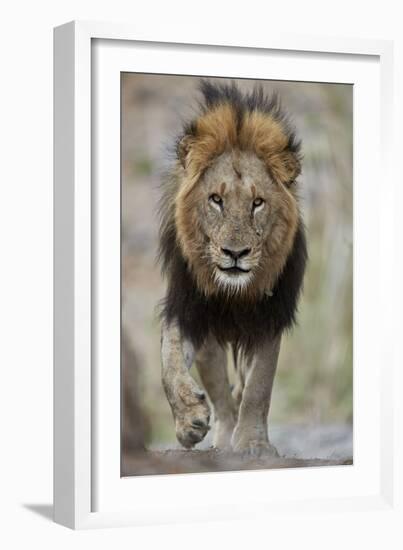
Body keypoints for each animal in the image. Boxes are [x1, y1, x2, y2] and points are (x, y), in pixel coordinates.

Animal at [159, 78, 308, 458]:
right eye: (216, 200)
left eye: (258, 203)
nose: (235, 253)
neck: (234, 292)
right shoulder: (189, 306)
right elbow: (170, 361)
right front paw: (189, 419)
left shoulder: (269, 315)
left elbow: (259, 387)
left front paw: (254, 443)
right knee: (221, 397)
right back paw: (221, 437)